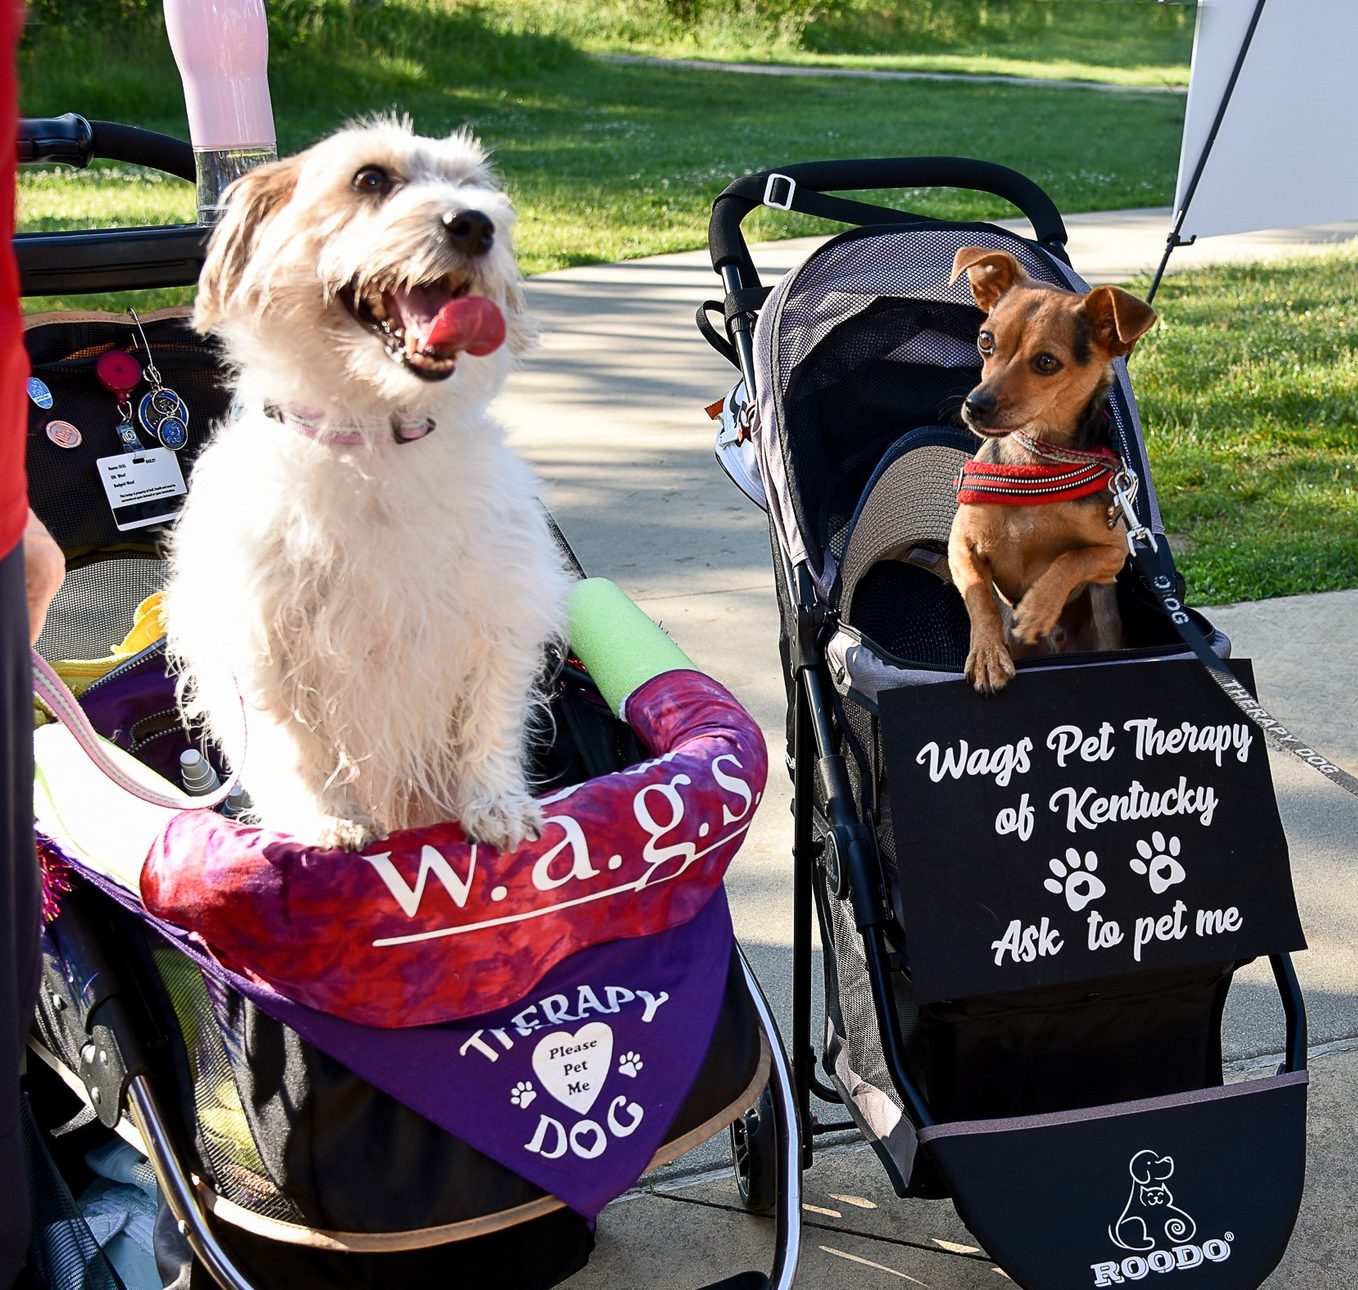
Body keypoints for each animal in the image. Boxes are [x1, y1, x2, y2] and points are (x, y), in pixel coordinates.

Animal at [167, 118, 570, 847]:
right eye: (370, 178)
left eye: (475, 185)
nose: (474, 223)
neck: (376, 439)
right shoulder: (262, 644)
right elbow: (296, 744)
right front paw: (327, 820)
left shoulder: (501, 615)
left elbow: (490, 722)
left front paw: (496, 804)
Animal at [945, 245, 1157, 692]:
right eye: (985, 341)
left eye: (1046, 362)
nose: (975, 405)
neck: (1038, 462)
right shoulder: (960, 546)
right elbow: (980, 596)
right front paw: (987, 654)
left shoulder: (1114, 553)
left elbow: (1069, 561)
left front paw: (1037, 609)